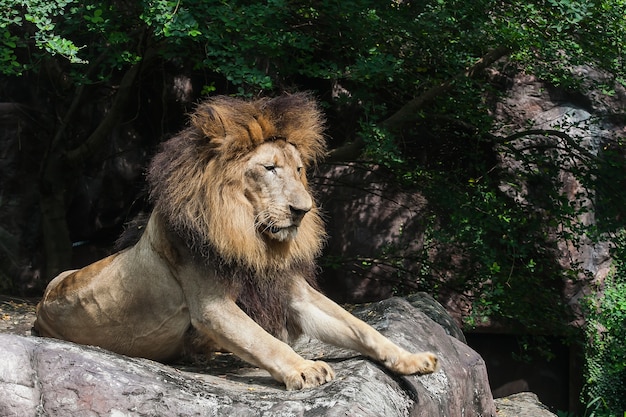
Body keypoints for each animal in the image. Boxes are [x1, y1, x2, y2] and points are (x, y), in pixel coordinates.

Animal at [33, 92, 434, 388]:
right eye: (269, 168)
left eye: (299, 169)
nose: (303, 210)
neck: (250, 235)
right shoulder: (212, 305)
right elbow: (264, 342)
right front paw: (304, 368)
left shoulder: (292, 291)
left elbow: (360, 327)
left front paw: (411, 358)